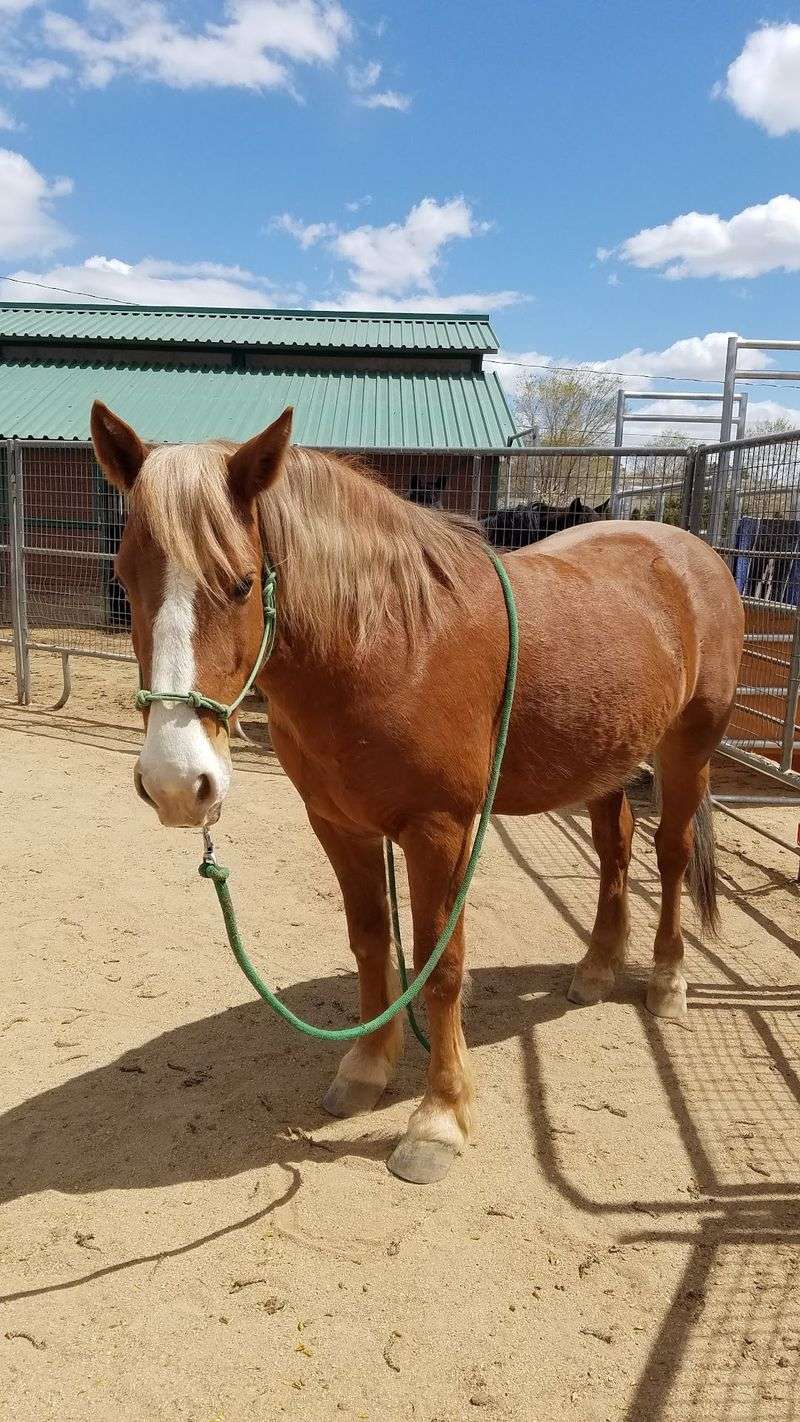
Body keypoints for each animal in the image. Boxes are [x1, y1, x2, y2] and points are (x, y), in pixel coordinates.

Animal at [91, 401, 744, 1185]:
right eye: (124, 576)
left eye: (243, 583)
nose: (175, 782)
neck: (390, 643)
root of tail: (692, 551)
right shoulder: (339, 824)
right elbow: (373, 942)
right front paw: (367, 1069)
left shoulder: (441, 832)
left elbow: (441, 965)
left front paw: (440, 1119)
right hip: (607, 758)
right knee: (614, 850)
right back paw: (595, 969)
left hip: (687, 750)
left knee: (669, 856)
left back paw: (668, 982)